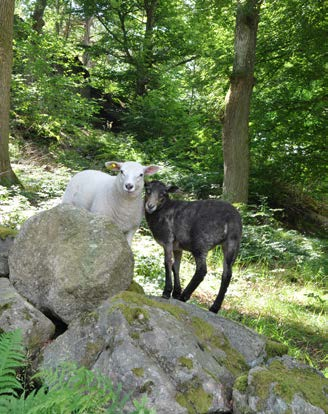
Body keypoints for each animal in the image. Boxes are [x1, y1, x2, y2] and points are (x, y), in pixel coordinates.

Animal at [145, 180, 242, 312]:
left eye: (163, 194)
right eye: (148, 190)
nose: (150, 206)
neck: (163, 209)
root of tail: (230, 219)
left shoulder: (167, 239)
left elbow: (167, 263)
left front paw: (167, 292)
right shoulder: (177, 247)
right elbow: (176, 267)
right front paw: (176, 292)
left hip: (200, 242)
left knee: (201, 270)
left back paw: (184, 296)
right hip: (232, 243)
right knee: (227, 274)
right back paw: (214, 308)